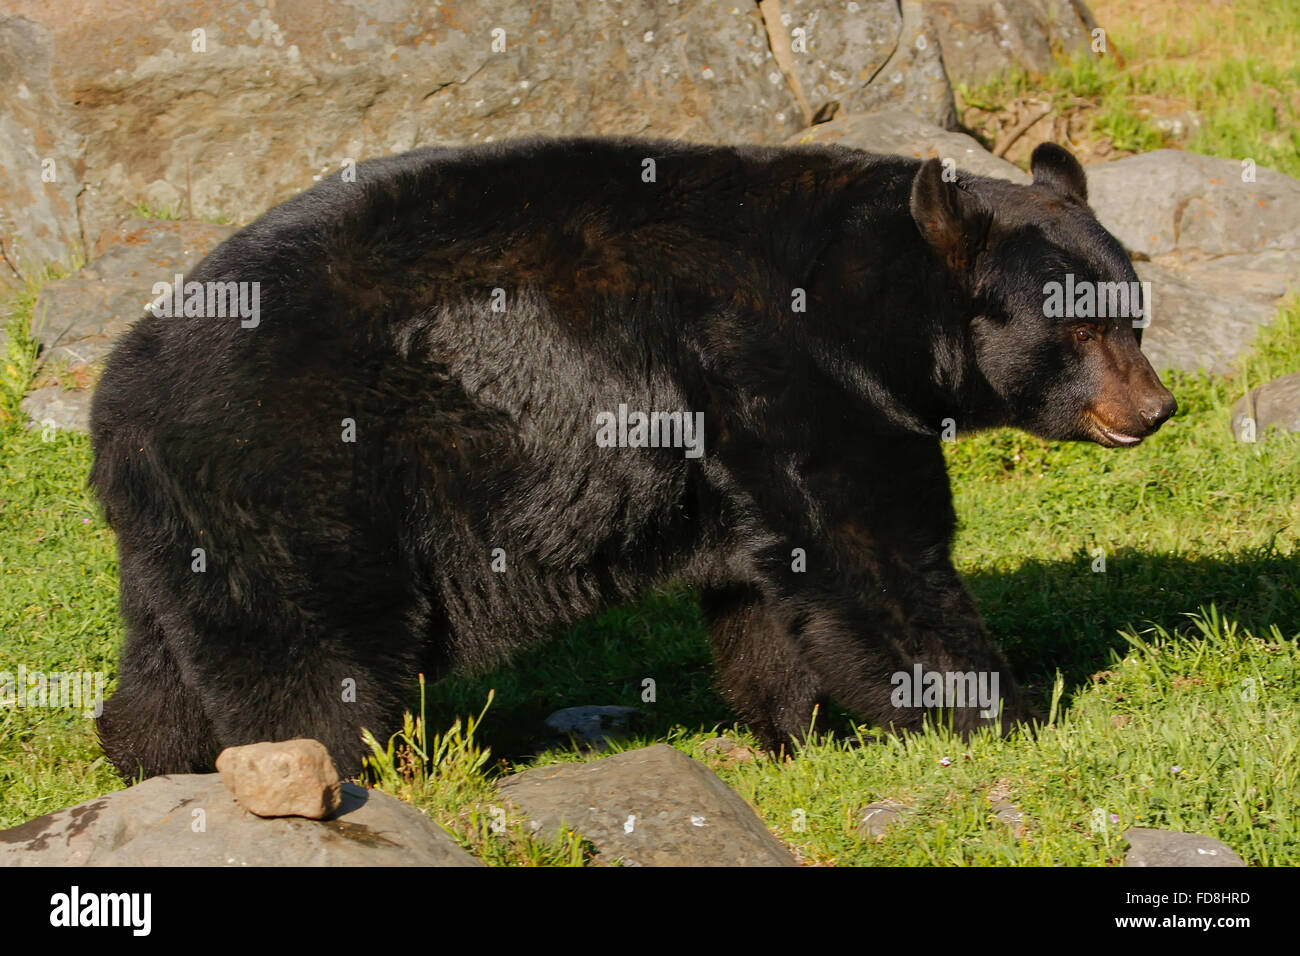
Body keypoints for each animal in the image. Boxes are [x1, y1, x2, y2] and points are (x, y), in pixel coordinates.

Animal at [86, 136, 1175, 780]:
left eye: (1131, 311)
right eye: (1077, 330)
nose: (1156, 408)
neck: (865, 306)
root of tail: (117, 396)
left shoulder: (739, 436)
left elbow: (767, 597)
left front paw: (800, 733)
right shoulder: (779, 371)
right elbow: (874, 557)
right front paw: (1005, 711)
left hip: (184, 534)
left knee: (170, 661)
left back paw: (154, 761)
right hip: (300, 478)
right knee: (313, 661)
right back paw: (342, 777)